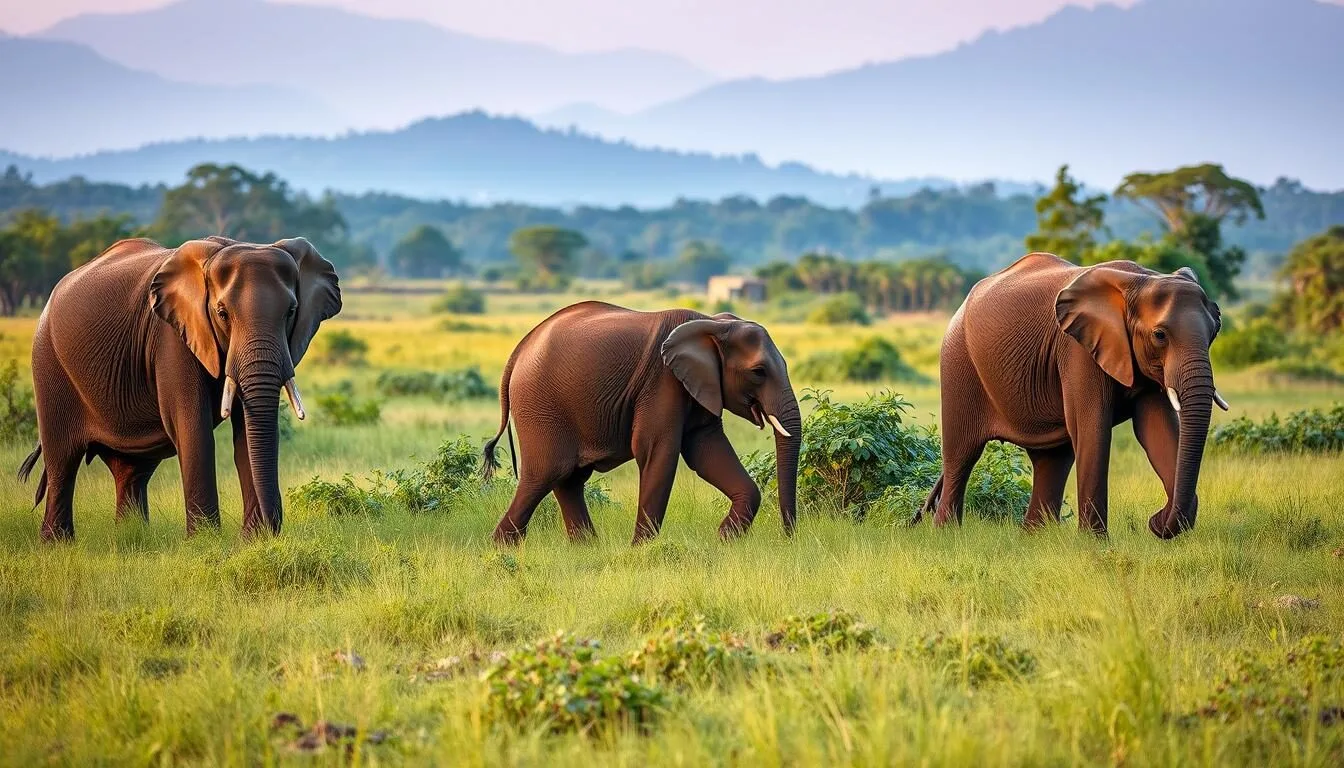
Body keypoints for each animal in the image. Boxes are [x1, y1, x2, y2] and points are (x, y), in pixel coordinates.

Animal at [19, 235, 341, 541]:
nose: (268, 531)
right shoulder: (171, 336)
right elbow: (192, 428)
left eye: (292, 311)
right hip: (48, 361)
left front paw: (251, 540)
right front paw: (206, 541)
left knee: (132, 469)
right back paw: (57, 544)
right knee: (62, 459)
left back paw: (132, 536)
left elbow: (245, 436)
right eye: (222, 313)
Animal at [482, 301, 802, 546]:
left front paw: (724, 539)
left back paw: (585, 548)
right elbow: (657, 451)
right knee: (545, 474)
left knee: (569, 479)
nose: (787, 537)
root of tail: (518, 351)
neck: (713, 324)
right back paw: (502, 548)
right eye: (758, 372)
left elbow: (706, 450)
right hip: (540, 405)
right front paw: (641, 550)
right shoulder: (662, 381)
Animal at [912, 252, 1228, 539]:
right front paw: (1094, 544)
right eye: (1160, 335)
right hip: (958, 362)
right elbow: (1093, 429)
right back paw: (946, 535)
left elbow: (1156, 430)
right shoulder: (1078, 350)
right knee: (962, 454)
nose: (1154, 520)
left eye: (1215, 332)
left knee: (1051, 459)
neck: (1142, 279)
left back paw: (1034, 539)